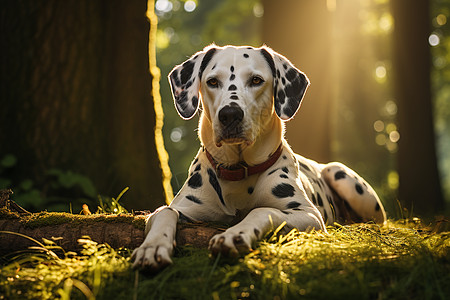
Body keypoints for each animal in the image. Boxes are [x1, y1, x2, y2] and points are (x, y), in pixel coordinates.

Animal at [131, 44, 386, 272]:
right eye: (212, 81)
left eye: (256, 80)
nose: (230, 114)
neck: (238, 171)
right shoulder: (186, 208)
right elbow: (165, 211)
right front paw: (152, 247)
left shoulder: (308, 214)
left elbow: (263, 210)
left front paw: (235, 234)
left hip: (341, 175)